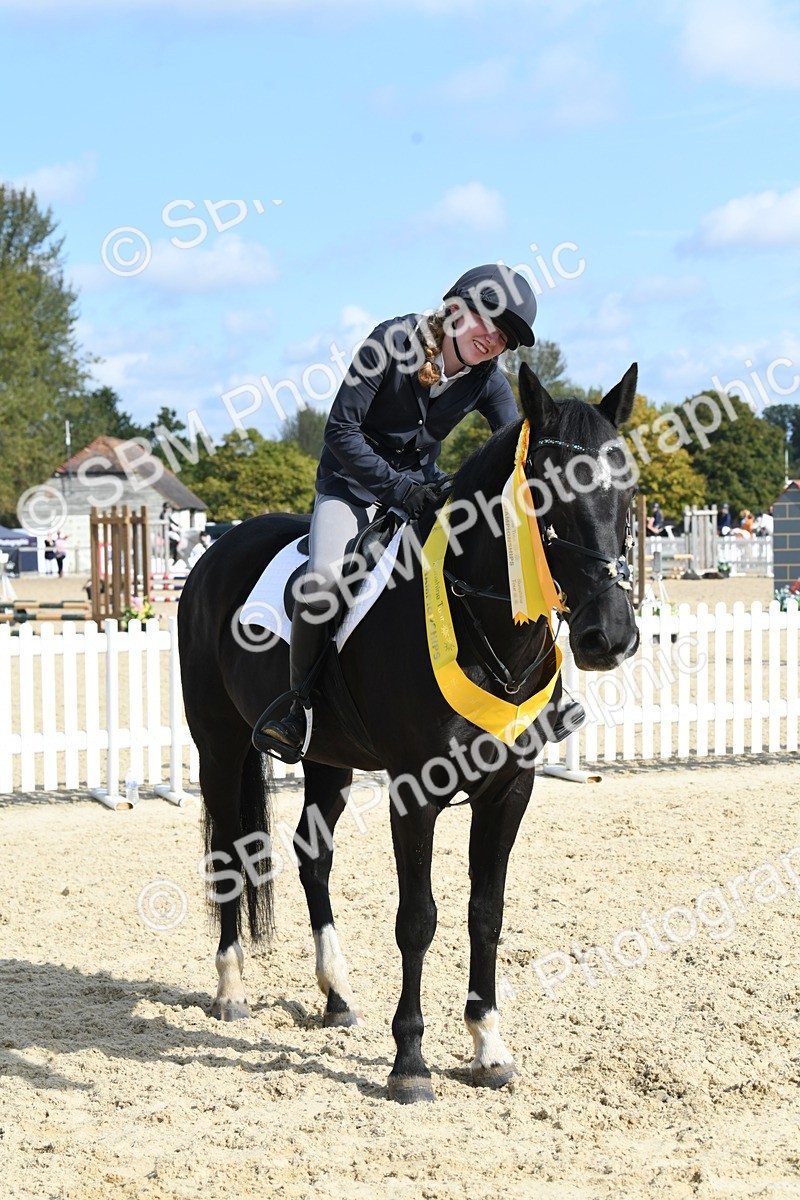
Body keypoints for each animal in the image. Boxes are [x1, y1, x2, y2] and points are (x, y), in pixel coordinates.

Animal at [178, 363, 640, 1104]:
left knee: (312, 853)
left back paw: (336, 995)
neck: (483, 626)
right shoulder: (415, 793)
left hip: (327, 759)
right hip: (219, 746)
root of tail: (218, 550)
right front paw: (411, 1062)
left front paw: (488, 1047)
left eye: (628, 487)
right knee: (228, 853)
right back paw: (229, 988)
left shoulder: (510, 790)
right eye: (543, 493)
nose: (609, 636)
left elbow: (486, 911)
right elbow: (418, 919)